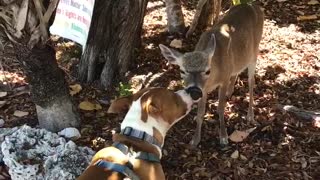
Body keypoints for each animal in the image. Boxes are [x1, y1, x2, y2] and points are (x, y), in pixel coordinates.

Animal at [159, 3, 264, 146]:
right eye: (182, 70)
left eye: (207, 71)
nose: (194, 91)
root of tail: (253, 5)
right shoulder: (204, 89)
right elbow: (200, 113)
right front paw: (195, 140)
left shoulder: (223, 79)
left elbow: (221, 107)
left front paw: (224, 137)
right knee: (236, 71)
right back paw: (230, 93)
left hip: (254, 53)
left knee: (251, 82)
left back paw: (250, 115)